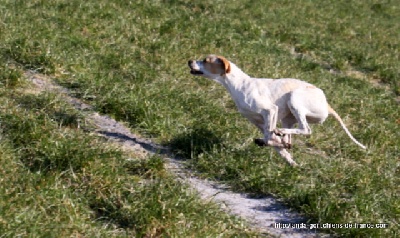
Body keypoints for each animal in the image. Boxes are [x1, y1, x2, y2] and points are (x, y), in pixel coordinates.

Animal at [188, 54, 366, 165]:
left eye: (205, 60)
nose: (189, 61)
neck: (240, 84)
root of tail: (327, 103)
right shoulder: (259, 122)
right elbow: (273, 139)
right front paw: (287, 157)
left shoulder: (270, 111)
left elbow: (270, 136)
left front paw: (270, 142)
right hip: (288, 116)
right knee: (289, 138)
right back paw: (284, 145)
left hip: (294, 98)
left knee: (305, 129)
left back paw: (280, 135)